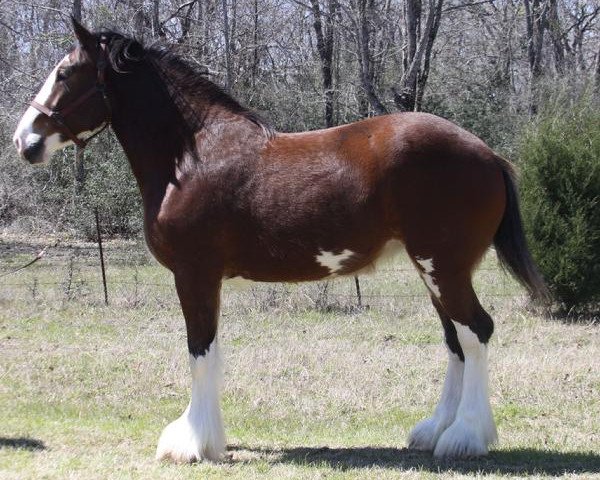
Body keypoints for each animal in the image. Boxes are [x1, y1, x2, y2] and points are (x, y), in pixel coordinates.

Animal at [11, 20, 548, 464]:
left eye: (65, 73)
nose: (23, 140)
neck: (192, 156)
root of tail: (487, 153)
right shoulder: (205, 280)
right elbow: (210, 353)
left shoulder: (194, 275)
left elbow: (199, 352)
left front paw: (192, 444)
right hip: (434, 270)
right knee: (456, 340)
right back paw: (435, 431)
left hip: (444, 267)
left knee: (476, 332)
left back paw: (465, 438)